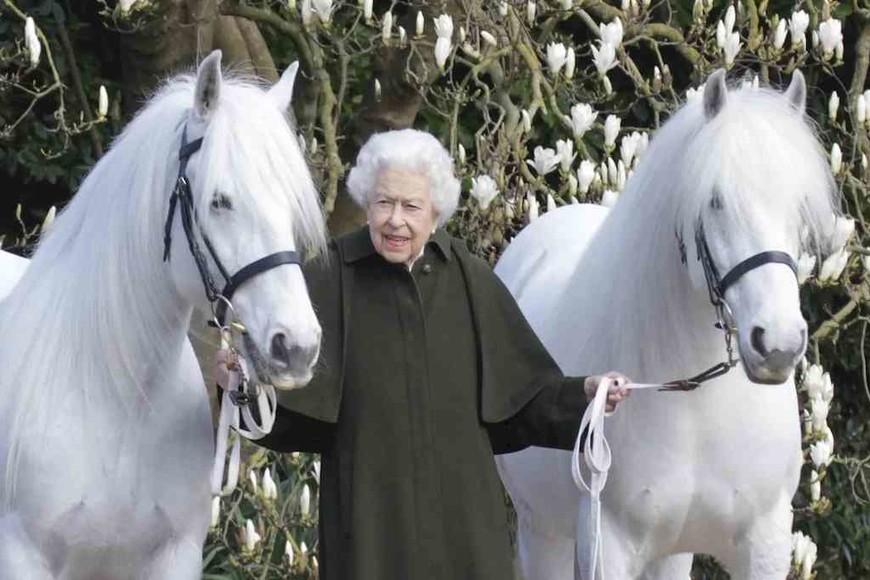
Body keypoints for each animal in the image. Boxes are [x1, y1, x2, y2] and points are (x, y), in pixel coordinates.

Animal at [0, 50, 326, 579]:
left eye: (291, 206)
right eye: (220, 201)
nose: (297, 346)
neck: (117, 399)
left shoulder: (174, 556)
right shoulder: (22, 554)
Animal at [495, 69, 837, 579]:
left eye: (798, 205)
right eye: (715, 200)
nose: (776, 344)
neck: (695, 402)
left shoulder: (765, 543)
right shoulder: (609, 546)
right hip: (543, 533)